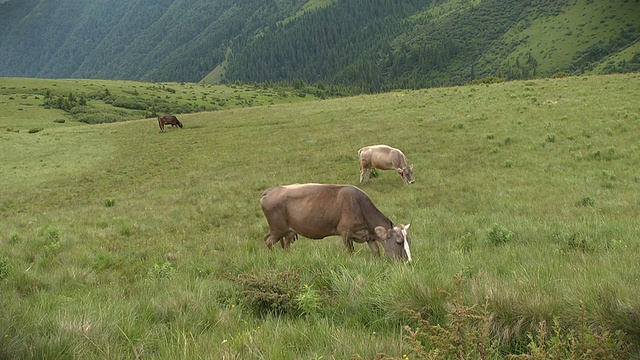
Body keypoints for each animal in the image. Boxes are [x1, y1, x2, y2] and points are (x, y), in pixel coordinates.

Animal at [258, 184, 412, 260]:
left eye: (408, 241)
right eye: (398, 242)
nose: (409, 261)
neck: (359, 205)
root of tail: (270, 190)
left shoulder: (369, 236)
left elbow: (377, 252)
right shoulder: (345, 232)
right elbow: (350, 252)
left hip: (288, 231)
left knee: (283, 244)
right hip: (278, 229)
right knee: (268, 242)